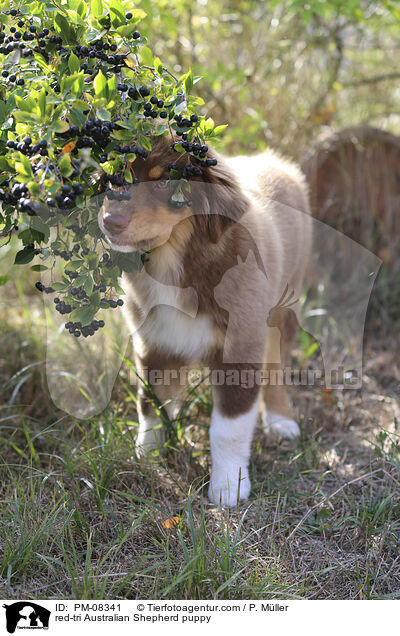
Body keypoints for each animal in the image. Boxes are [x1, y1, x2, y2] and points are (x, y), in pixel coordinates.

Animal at [98, 135, 310, 506]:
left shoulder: (240, 348)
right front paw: (147, 459)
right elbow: (150, 407)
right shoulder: (155, 345)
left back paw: (281, 419)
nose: (110, 221)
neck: (176, 260)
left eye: (165, 183)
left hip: (284, 307)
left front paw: (228, 486)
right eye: (117, 177)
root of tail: (274, 161)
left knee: (276, 366)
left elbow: (229, 427)